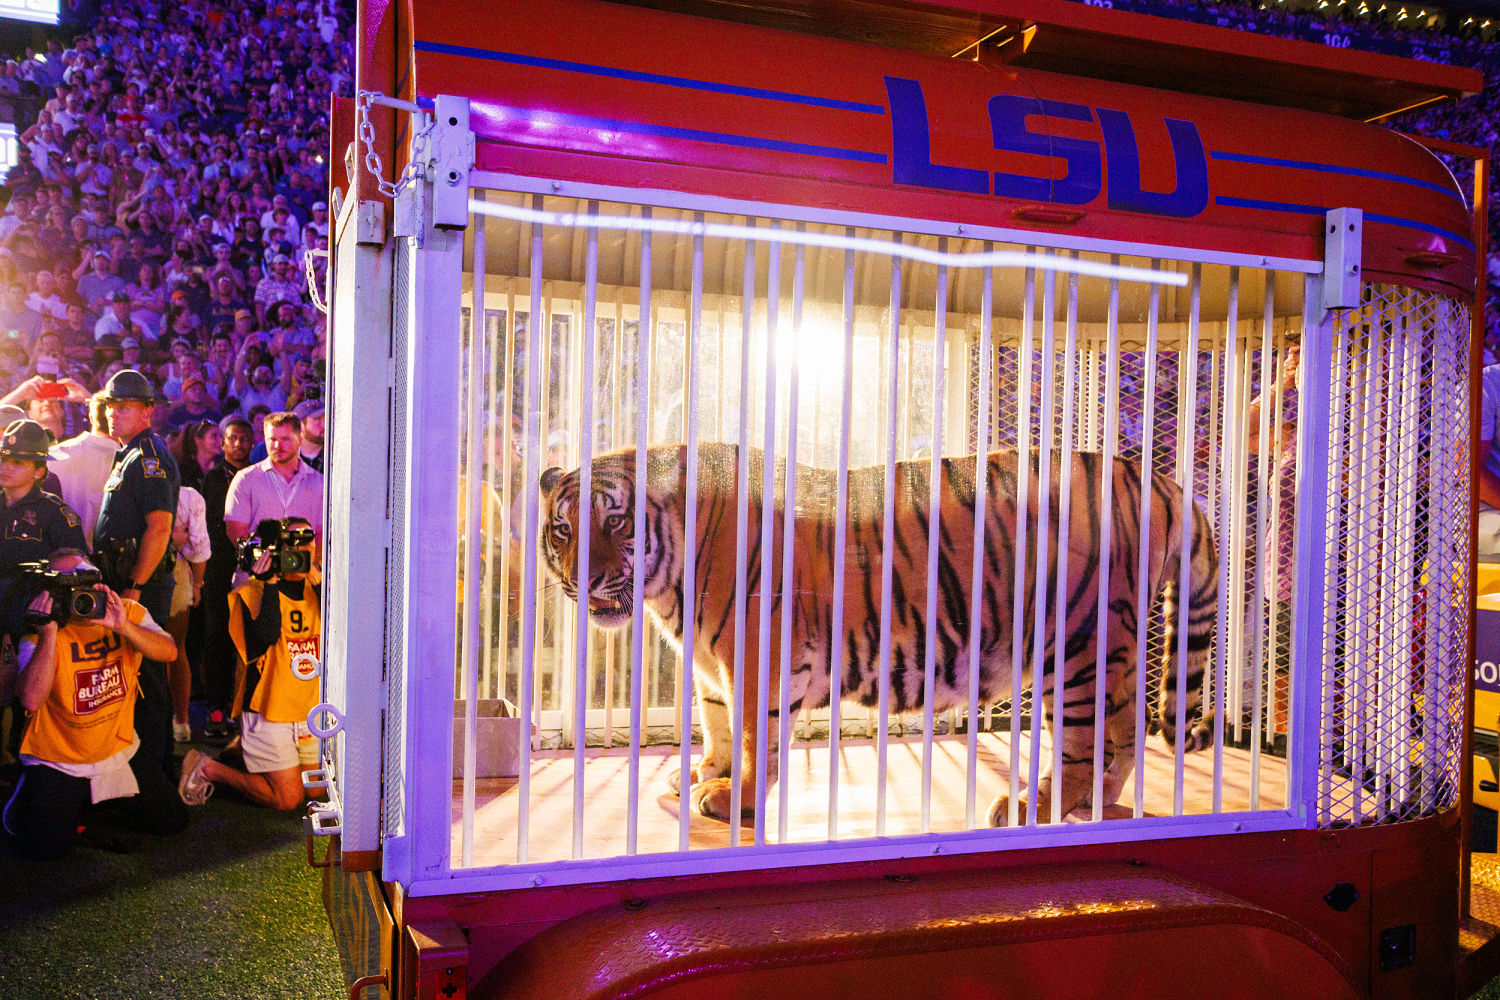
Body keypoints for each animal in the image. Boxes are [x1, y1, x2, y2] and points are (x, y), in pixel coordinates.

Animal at [540, 446, 1218, 827]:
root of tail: (1156, 479)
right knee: (1123, 733)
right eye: (562, 530)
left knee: (1092, 741)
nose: (584, 578)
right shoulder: (710, 663)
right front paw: (705, 772)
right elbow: (716, 719)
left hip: (1076, 644)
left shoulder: (756, 654)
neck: (666, 586)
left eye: (616, 522)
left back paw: (1030, 806)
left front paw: (736, 799)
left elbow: (756, 734)